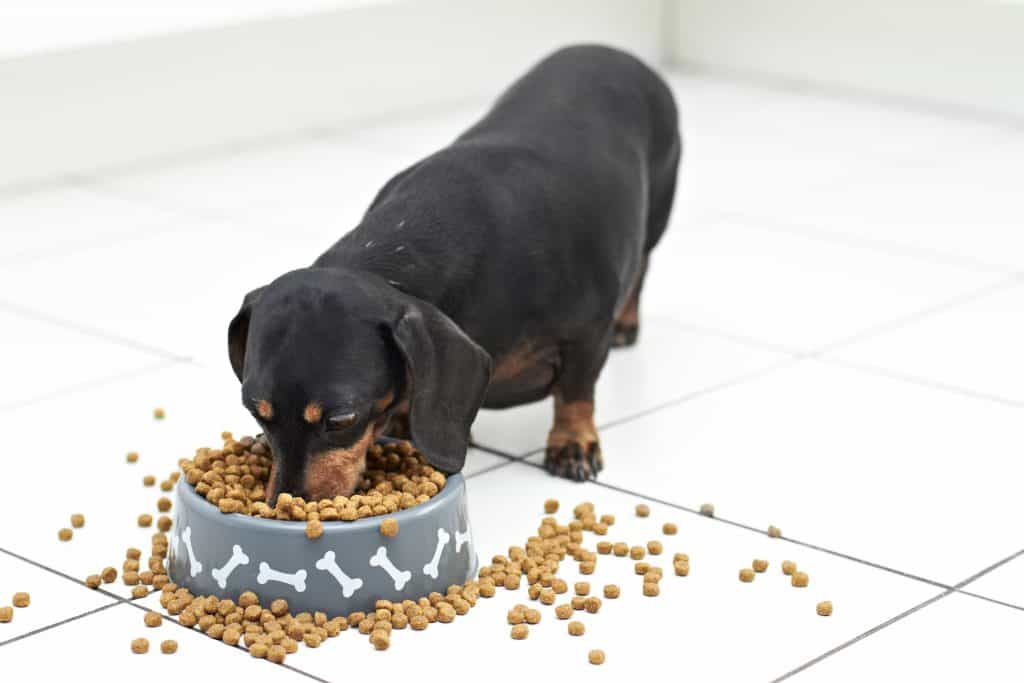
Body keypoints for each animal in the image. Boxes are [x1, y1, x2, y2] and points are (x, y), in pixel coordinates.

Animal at [230, 44, 679, 501]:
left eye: (341, 419)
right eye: (256, 411)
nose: (285, 506)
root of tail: (611, 51)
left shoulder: (586, 334)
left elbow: (576, 391)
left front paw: (573, 443)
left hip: (657, 210)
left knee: (642, 265)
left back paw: (627, 324)